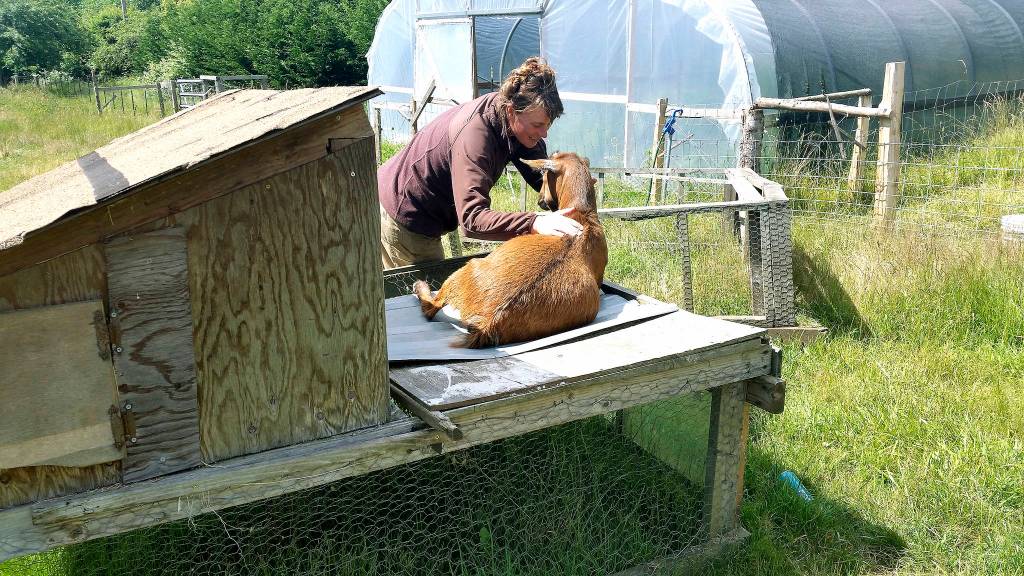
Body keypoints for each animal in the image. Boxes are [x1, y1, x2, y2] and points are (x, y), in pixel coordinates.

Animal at [412, 152, 608, 348]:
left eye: (544, 175)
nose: (540, 200)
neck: (583, 214)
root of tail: (488, 322)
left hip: (464, 270)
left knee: (431, 306)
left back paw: (418, 285)